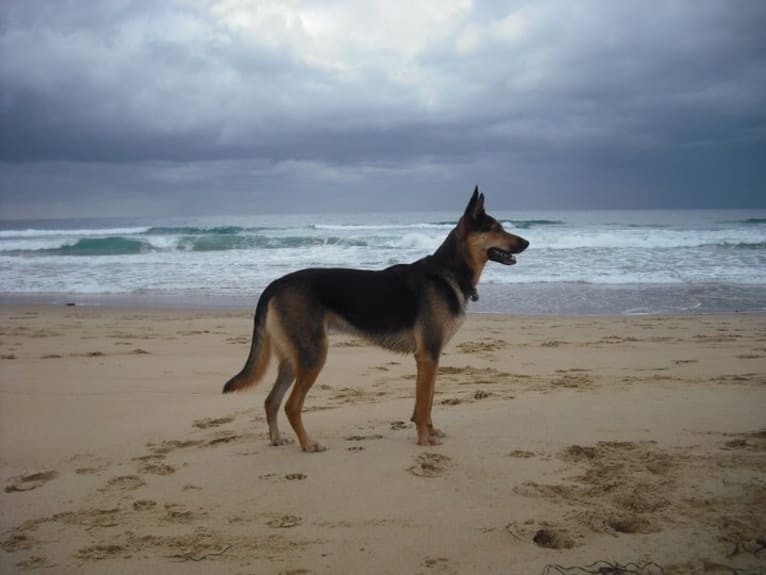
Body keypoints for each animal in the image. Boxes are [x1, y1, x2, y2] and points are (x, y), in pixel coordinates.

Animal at [225, 187, 532, 452]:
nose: (527, 242)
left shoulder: (432, 358)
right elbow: (423, 404)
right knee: (291, 405)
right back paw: (308, 444)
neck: (449, 271)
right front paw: (424, 439)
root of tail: (276, 283)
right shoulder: (428, 356)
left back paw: (277, 439)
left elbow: (429, 401)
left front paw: (430, 433)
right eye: (496, 229)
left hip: (293, 359)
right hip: (313, 356)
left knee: (271, 401)